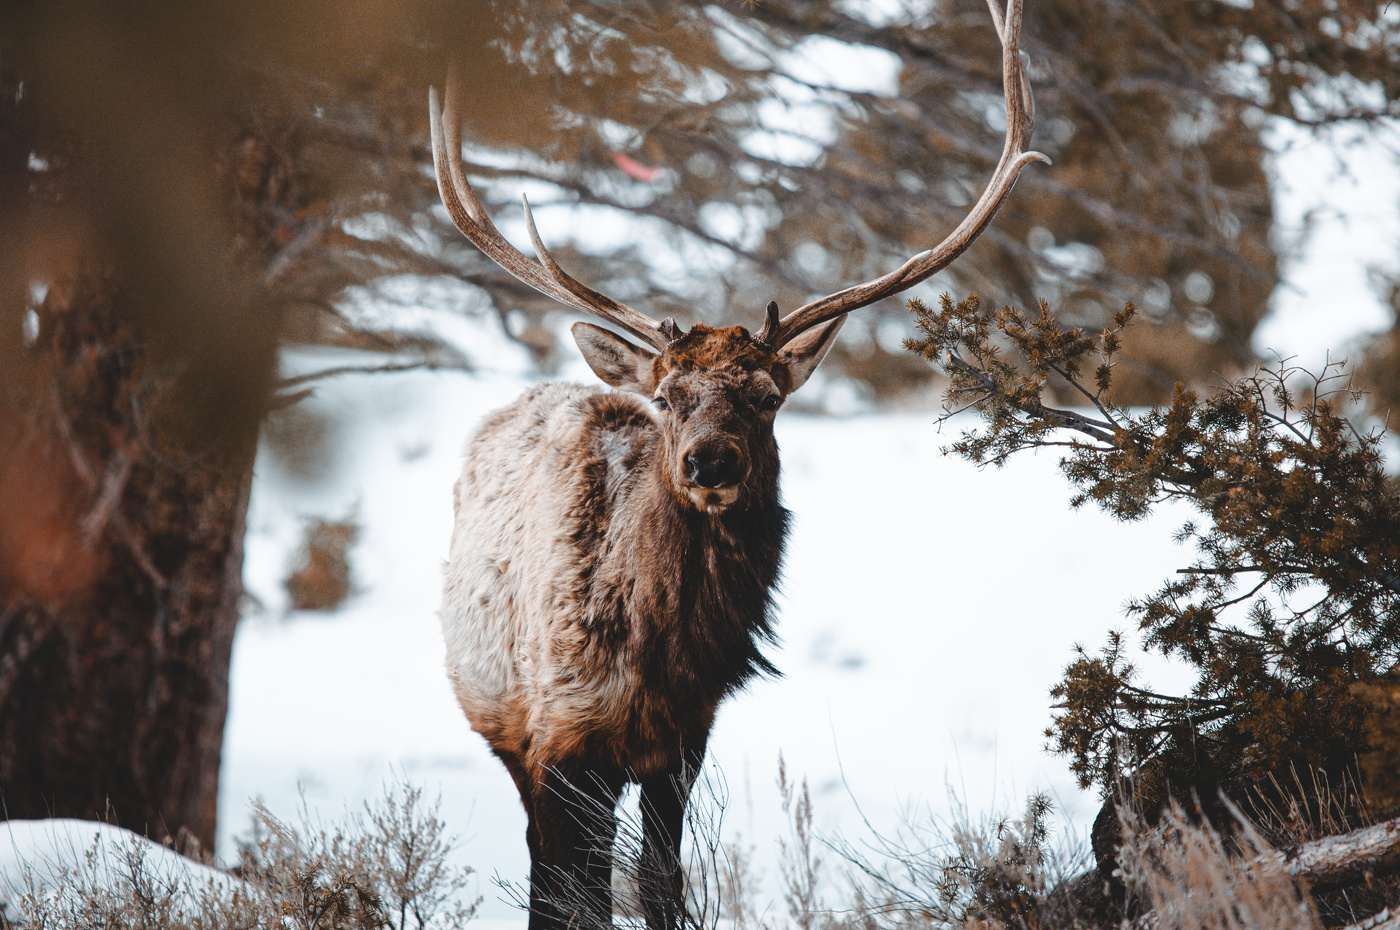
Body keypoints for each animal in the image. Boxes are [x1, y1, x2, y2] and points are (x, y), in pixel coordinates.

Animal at [431, 2, 1045, 927]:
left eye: (764, 396)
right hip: (504, 723)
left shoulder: (685, 738)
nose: (710, 462)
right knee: (553, 872)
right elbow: (566, 894)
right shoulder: (559, 735)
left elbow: (661, 884)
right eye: (669, 395)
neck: (657, 656)